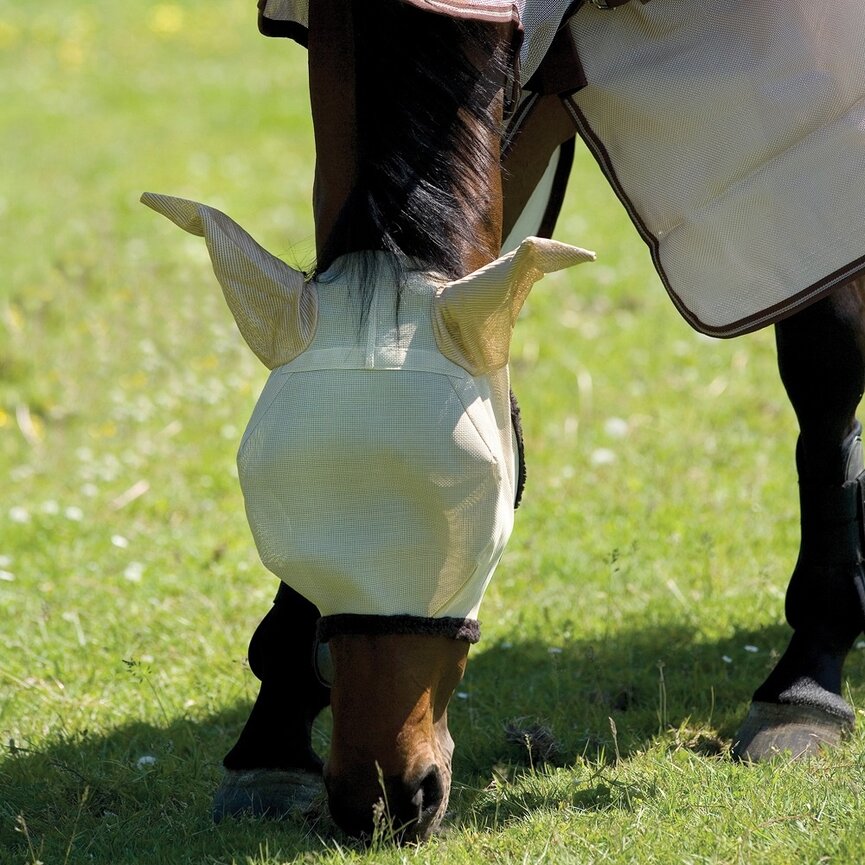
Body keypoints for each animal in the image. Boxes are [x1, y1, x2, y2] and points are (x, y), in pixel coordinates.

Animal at [147, 0, 864, 840]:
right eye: (272, 505)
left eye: (473, 501)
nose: (383, 795)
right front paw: (272, 738)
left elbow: (823, 377)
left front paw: (806, 683)